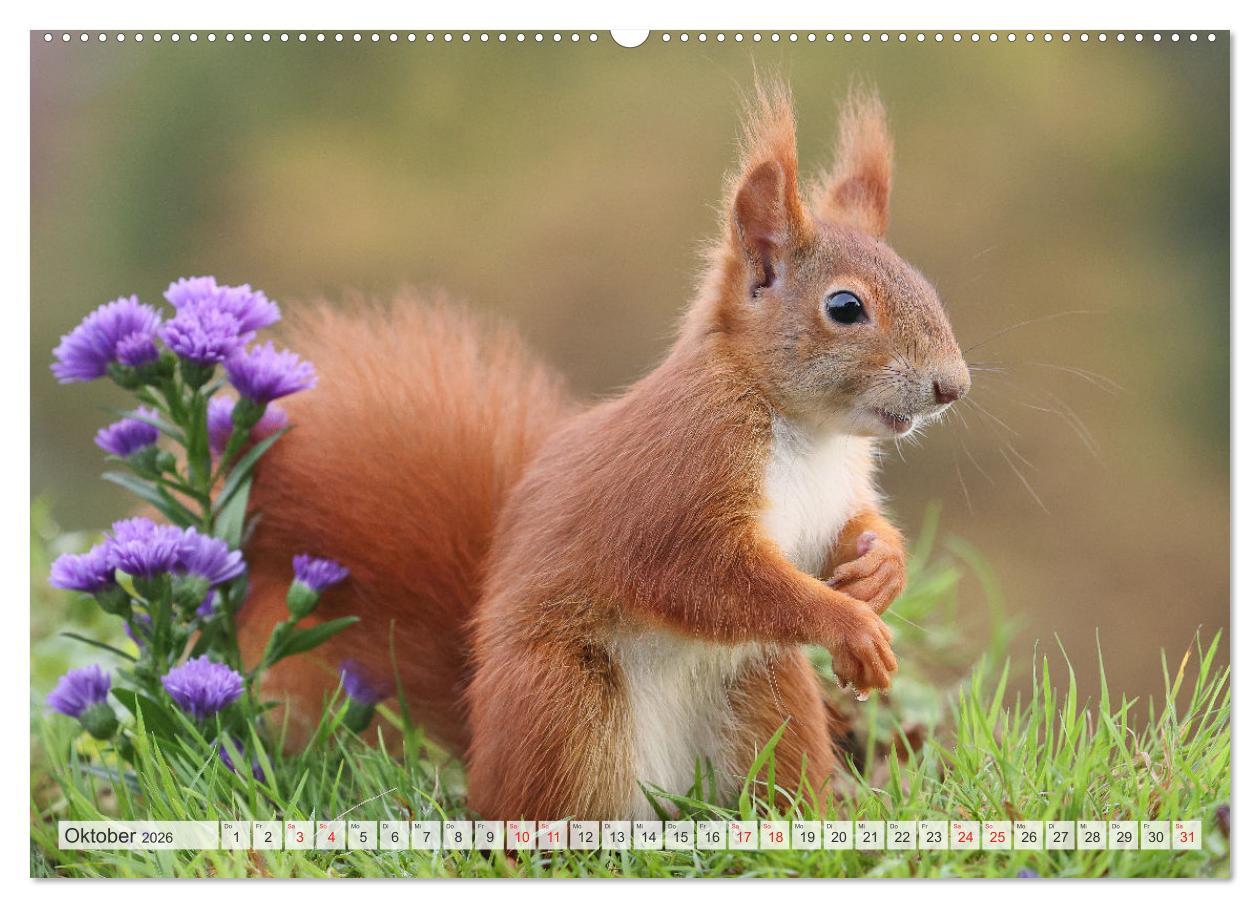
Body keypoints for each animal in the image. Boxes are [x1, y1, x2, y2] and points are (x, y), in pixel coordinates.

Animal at [238, 82, 970, 821]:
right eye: (845, 307)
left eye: (924, 283)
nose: (952, 386)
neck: (808, 431)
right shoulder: (679, 484)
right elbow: (711, 579)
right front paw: (847, 622)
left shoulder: (835, 497)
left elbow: (851, 533)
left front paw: (881, 569)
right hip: (565, 706)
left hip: (766, 692)